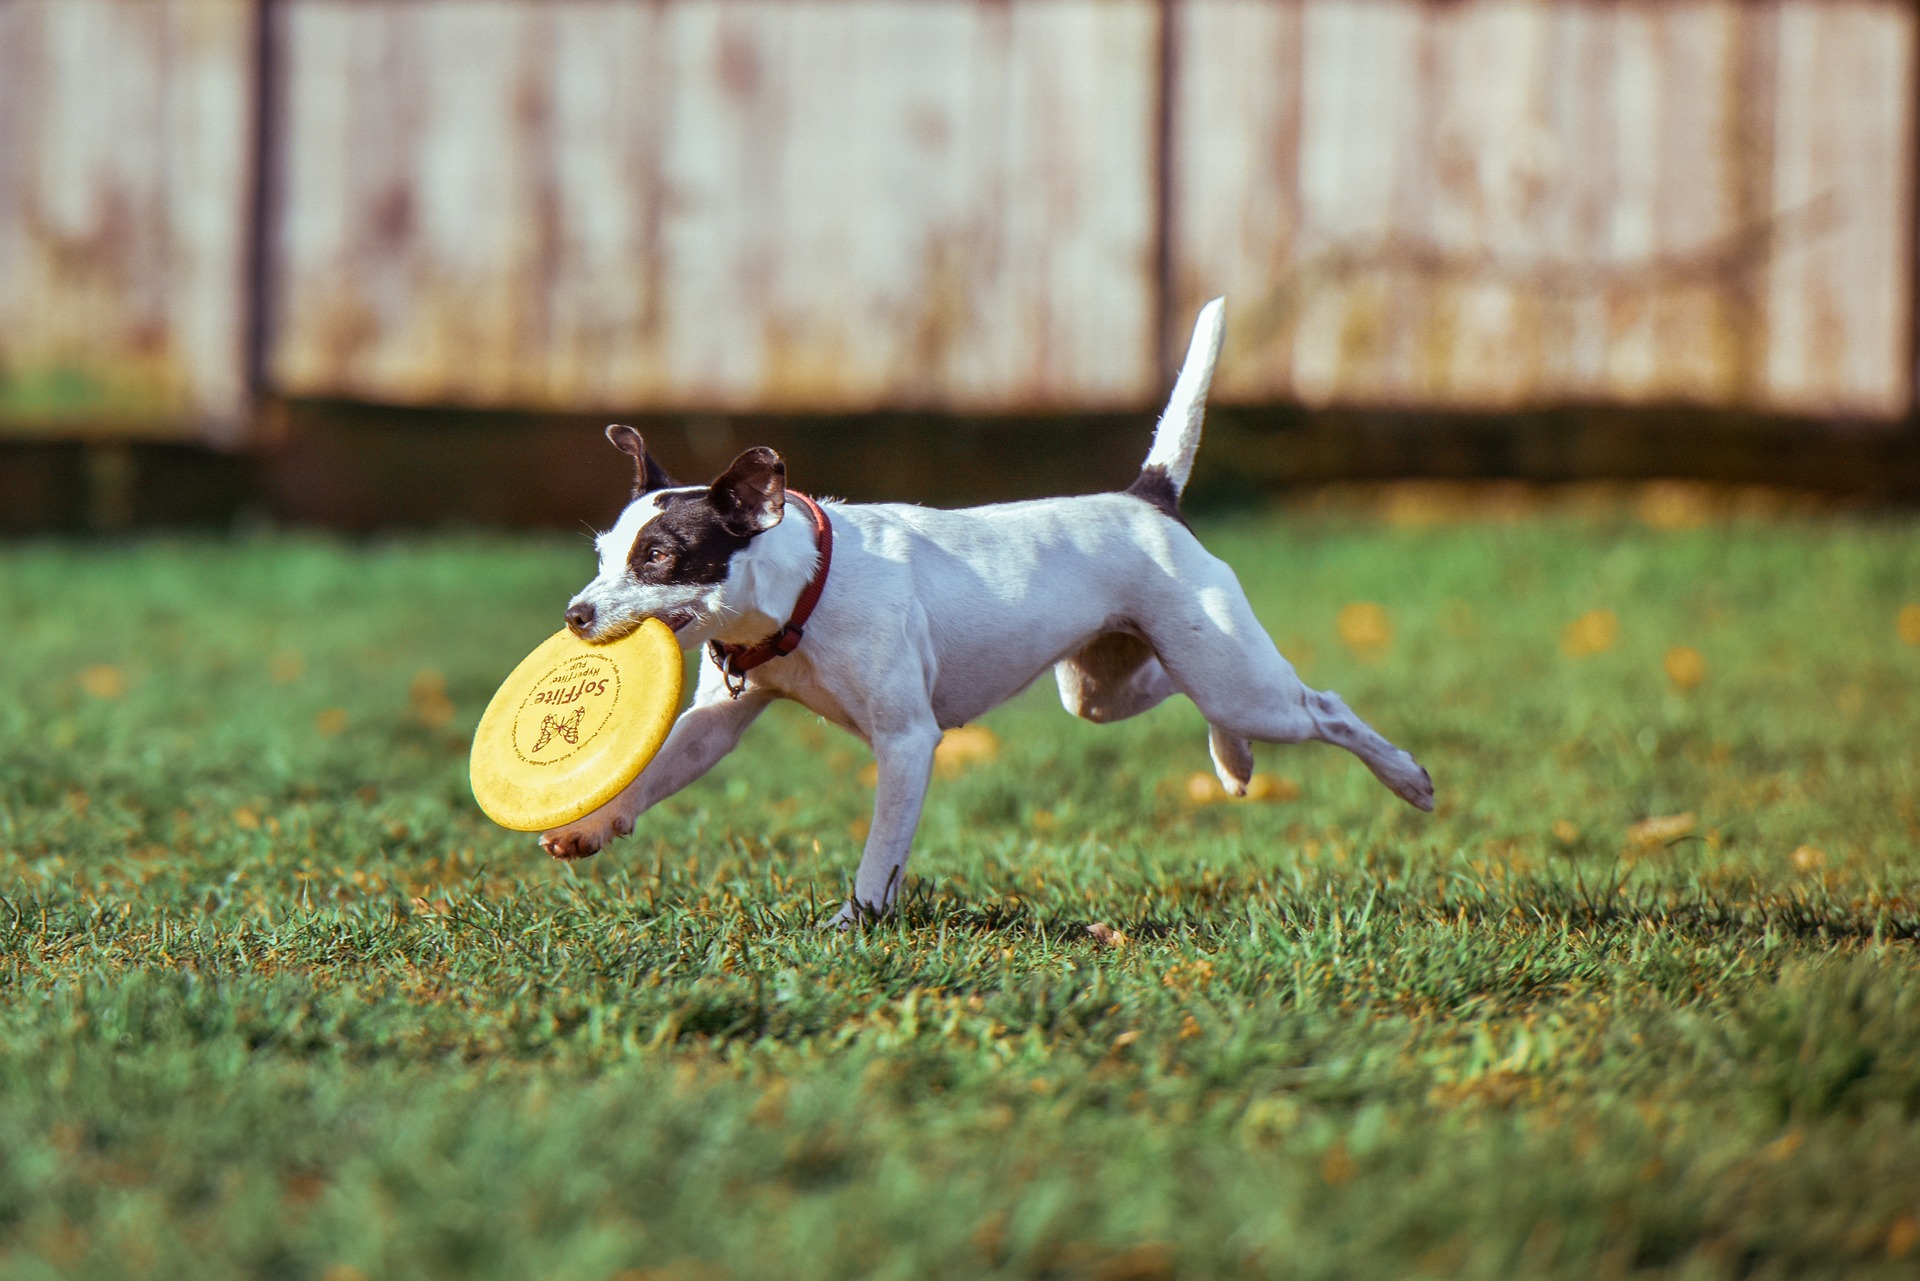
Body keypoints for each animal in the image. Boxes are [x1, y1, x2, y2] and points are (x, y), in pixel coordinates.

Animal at [537, 301, 1428, 921]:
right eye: (602, 554)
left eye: (659, 557)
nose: (576, 614)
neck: (804, 592)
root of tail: (1148, 498)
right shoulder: (714, 723)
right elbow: (656, 771)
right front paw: (594, 824)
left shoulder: (906, 743)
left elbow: (880, 853)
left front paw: (853, 923)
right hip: (1106, 686)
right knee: (1184, 692)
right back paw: (1232, 760)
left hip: (1240, 680)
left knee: (1323, 706)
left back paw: (1406, 777)